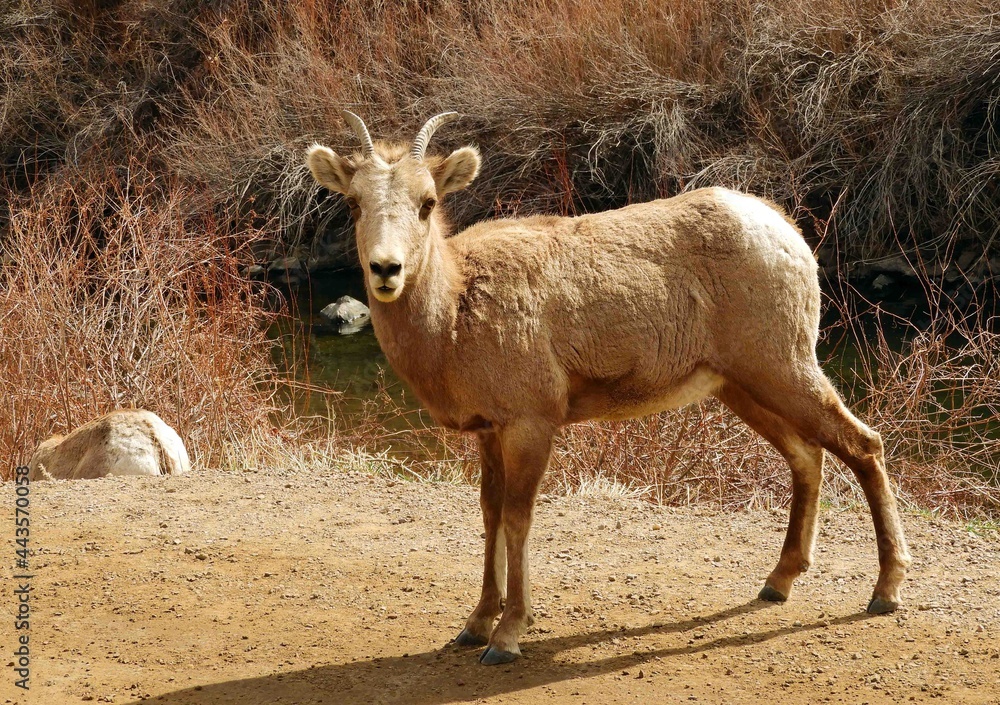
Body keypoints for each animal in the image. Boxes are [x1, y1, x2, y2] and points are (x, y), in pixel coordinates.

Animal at [306, 111, 916, 664]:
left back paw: (885, 592)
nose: (386, 269)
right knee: (807, 454)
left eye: (427, 202)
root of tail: (791, 235)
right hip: (741, 385)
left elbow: (518, 519)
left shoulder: (532, 421)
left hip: (783, 365)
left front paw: (506, 638)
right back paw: (777, 583)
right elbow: (488, 514)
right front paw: (473, 626)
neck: (453, 314)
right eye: (354, 203)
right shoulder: (489, 430)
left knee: (863, 444)